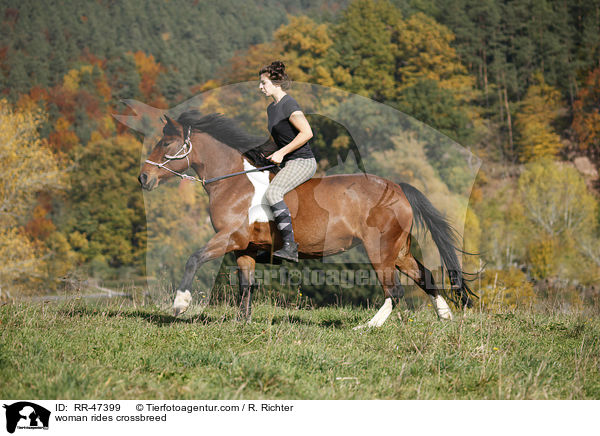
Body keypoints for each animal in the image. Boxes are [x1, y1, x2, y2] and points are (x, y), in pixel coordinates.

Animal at [138, 110, 476, 326]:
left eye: (165, 143)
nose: (143, 178)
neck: (234, 182)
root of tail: (396, 187)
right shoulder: (244, 249)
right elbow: (246, 286)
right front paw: (241, 322)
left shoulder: (229, 238)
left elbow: (194, 258)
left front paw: (180, 304)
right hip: (399, 250)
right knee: (425, 277)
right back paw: (446, 318)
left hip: (380, 250)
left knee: (394, 291)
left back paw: (367, 327)